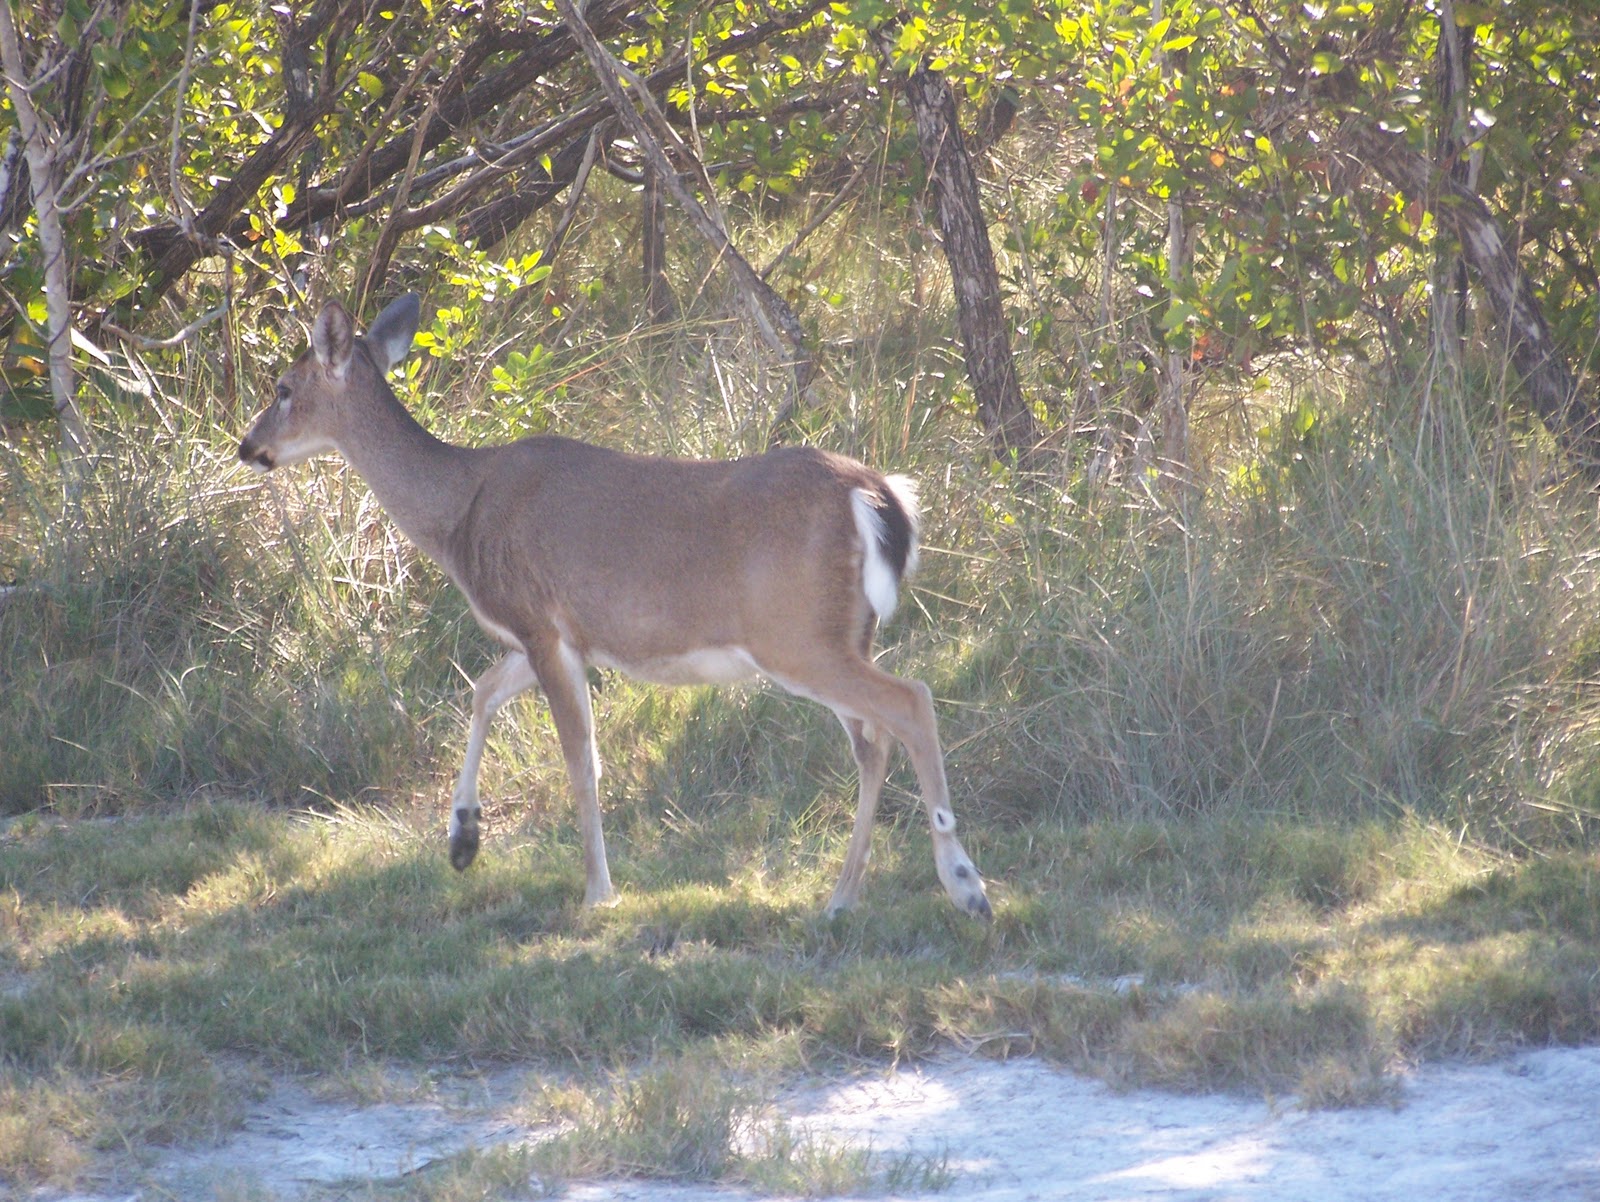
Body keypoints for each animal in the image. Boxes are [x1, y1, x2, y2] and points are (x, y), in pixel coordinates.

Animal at [238, 293, 991, 921]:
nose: (248, 447)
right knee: (873, 741)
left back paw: (964, 884)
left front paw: (599, 891)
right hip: (841, 633)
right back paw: (843, 896)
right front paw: (462, 838)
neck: (459, 511)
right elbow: (482, 692)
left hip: (797, 634)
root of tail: (877, 494)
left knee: (910, 702)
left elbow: (580, 762)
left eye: (283, 388)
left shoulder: (540, 622)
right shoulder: (548, 635)